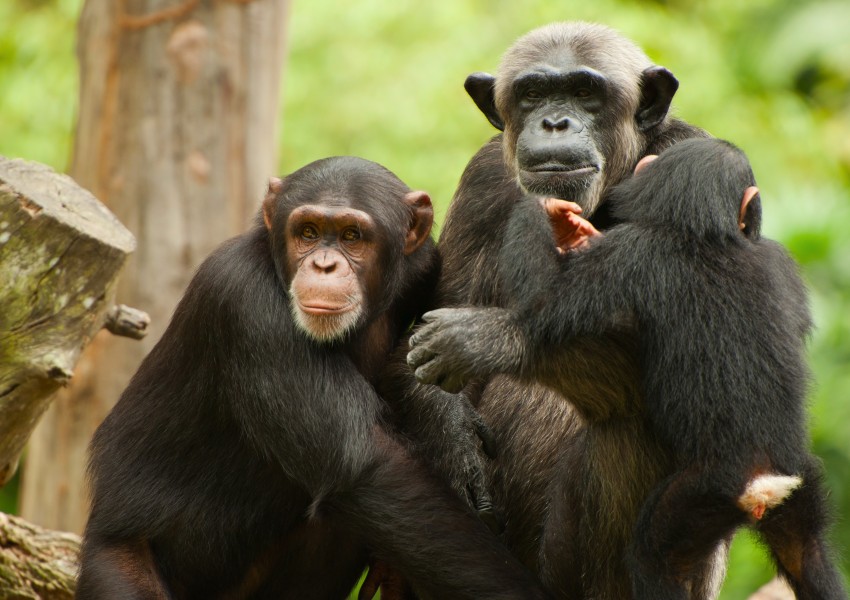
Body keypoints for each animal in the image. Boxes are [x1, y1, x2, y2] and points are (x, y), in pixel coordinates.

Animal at [76, 156, 548, 600]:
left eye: (352, 236)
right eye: (307, 231)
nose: (323, 264)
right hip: (113, 563)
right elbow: (366, 466)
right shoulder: (245, 301)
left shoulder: (424, 263)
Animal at [408, 137, 844, 600]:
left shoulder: (627, 255)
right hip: (799, 492)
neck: (705, 234)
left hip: (701, 494)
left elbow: (545, 301)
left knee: (655, 553)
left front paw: (543, 214)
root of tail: (763, 481)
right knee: (807, 553)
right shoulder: (779, 262)